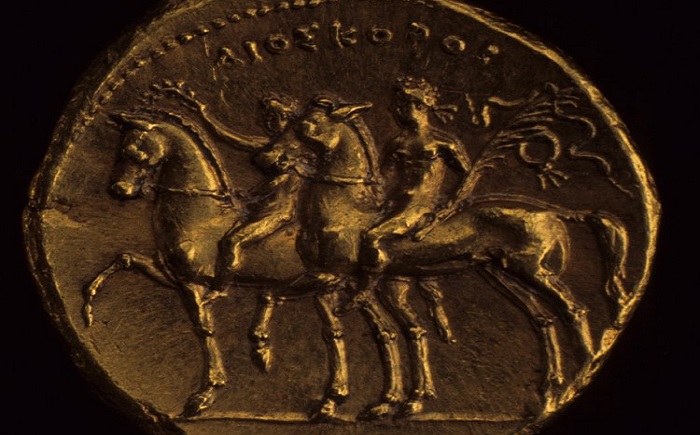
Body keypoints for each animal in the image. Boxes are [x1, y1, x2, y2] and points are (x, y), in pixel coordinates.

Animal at [81, 110, 402, 420]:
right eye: (122, 149)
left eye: (134, 151)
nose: (119, 189)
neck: (201, 214)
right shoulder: (172, 275)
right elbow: (124, 259)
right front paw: (89, 306)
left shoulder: (192, 284)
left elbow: (204, 327)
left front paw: (206, 393)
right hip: (350, 289)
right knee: (384, 331)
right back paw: (379, 401)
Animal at [256, 98, 630, 417]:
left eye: (306, 127)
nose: (267, 158)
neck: (345, 210)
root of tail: (555, 211)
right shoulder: (345, 280)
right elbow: (373, 330)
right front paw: (385, 401)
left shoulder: (334, 276)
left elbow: (274, 294)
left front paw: (263, 350)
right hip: (502, 273)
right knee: (543, 318)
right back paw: (551, 390)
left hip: (532, 269)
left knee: (573, 309)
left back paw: (583, 368)